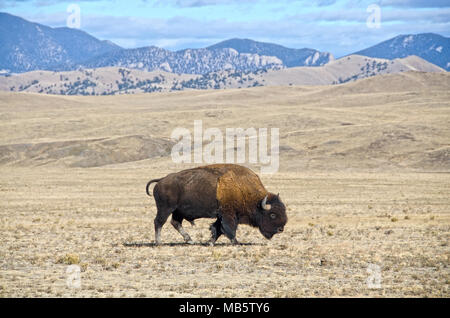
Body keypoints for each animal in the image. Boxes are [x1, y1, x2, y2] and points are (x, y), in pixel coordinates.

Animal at [146, 163, 286, 245]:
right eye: (272, 215)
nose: (280, 229)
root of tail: (161, 180)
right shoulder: (228, 215)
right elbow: (229, 229)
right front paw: (236, 242)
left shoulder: (221, 215)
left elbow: (217, 229)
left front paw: (210, 242)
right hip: (166, 209)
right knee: (159, 222)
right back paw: (159, 242)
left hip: (178, 211)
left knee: (175, 222)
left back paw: (190, 240)